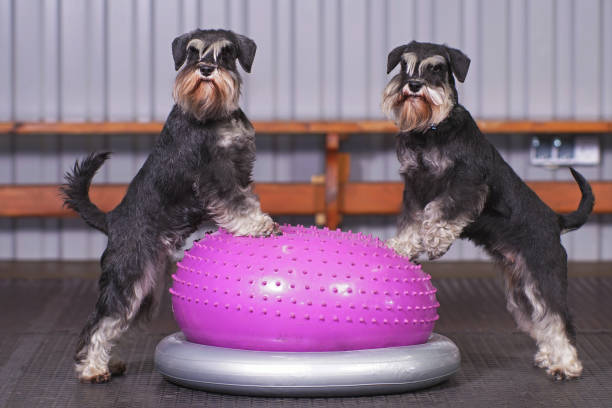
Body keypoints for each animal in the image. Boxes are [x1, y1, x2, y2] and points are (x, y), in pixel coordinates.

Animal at [61, 28, 278, 382]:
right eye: (192, 52)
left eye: (226, 52)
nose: (205, 69)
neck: (213, 114)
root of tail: (111, 219)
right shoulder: (214, 173)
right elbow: (235, 202)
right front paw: (258, 225)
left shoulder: (241, 168)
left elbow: (245, 197)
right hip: (129, 275)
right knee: (102, 320)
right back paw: (92, 369)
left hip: (147, 289)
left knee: (117, 322)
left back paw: (110, 362)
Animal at [382, 40, 592, 380]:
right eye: (404, 65)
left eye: (437, 68)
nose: (413, 85)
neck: (432, 130)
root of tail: (556, 221)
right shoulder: (414, 186)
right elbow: (412, 219)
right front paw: (401, 246)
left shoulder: (468, 182)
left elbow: (442, 209)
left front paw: (435, 240)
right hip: (521, 291)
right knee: (541, 321)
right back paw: (550, 356)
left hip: (543, 277)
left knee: (558, 318)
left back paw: (566, 364)